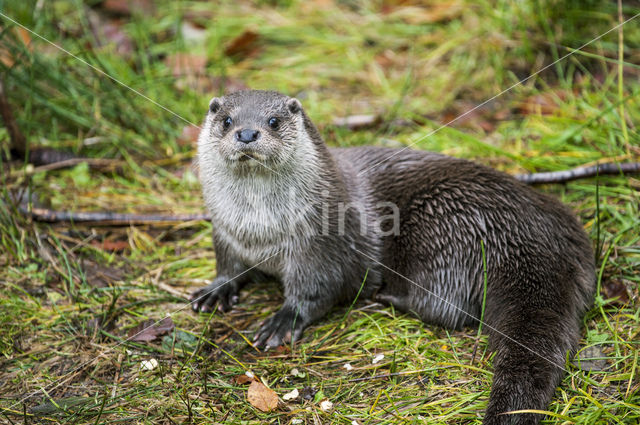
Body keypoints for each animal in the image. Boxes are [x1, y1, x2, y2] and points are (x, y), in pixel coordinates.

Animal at [190, 88, 596, 420]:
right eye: (227, 120)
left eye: (273, 121)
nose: (246, 133)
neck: (261, 230)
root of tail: (535, 232)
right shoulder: (224, 231)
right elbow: (228, 265)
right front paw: (216, 290)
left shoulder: (321, 243)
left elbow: (319, 288)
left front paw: (284, 321)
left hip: (444, 224)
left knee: (448, 308)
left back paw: (388, 297)